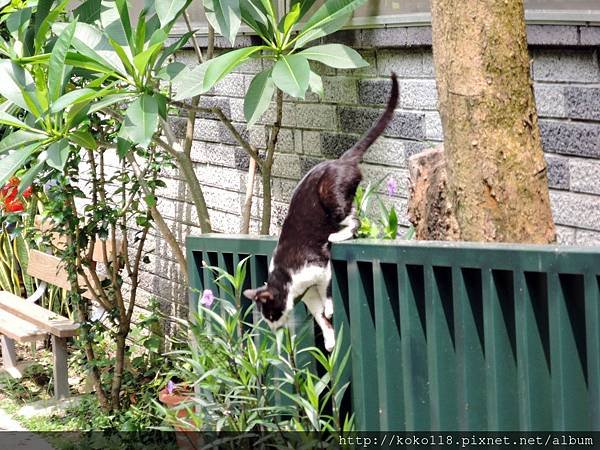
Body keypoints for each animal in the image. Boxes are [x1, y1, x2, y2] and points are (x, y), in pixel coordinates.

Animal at [244, 72, 398, 352]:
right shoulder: (309, 293)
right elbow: (317, 314)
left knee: (354, 219)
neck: (287, 279)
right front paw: (329, 338)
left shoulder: (319, 268)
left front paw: (330, 308)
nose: (274, 328)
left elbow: (326, 291)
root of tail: (341, 159)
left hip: (331, 197)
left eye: (271, 314)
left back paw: (336, 235)